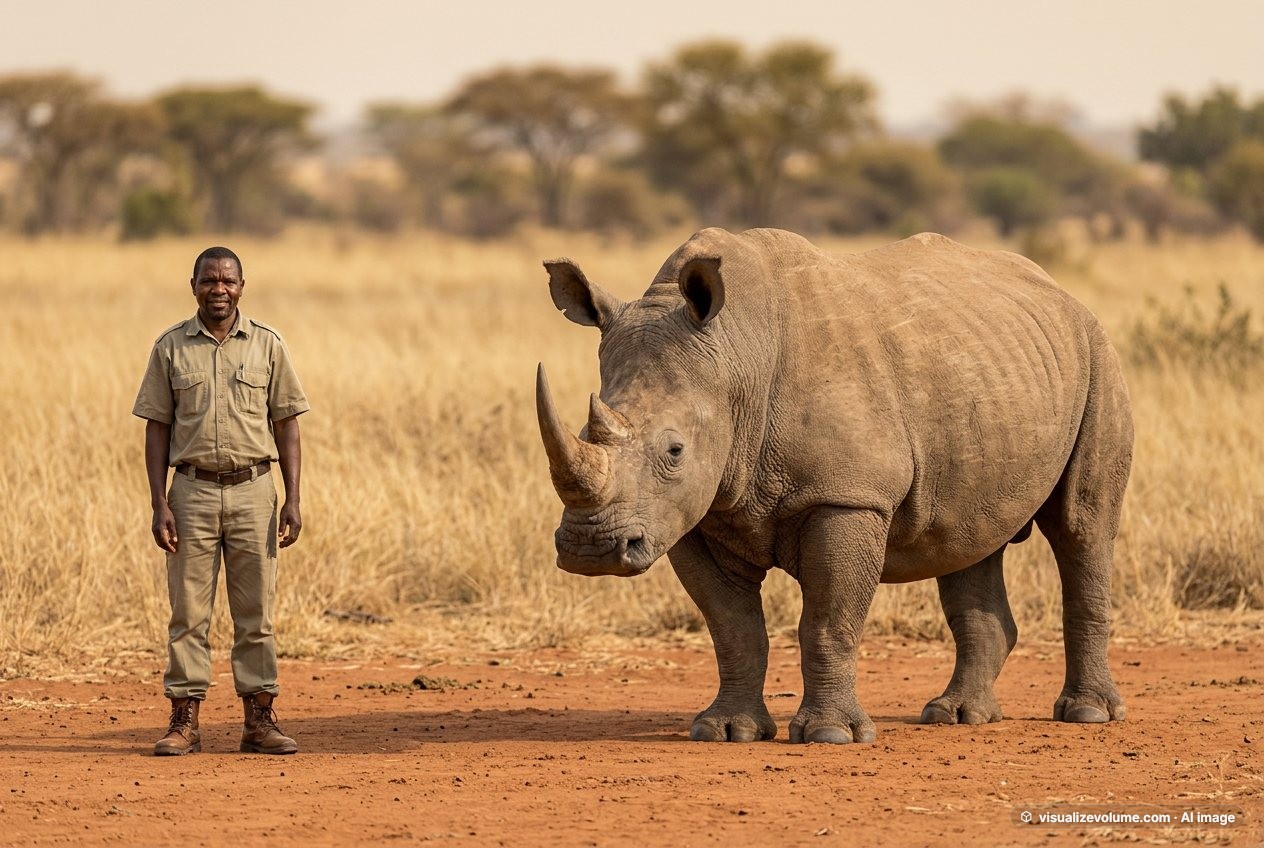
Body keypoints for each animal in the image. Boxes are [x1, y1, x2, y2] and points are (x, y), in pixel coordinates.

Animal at [536, 228, 1132, 744]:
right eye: (584, 431)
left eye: (674, 451)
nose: (592, 549)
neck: (735, 359)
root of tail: (1063, 295)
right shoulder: (692, 515)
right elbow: (732, 628)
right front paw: (725, 731)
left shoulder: (846, 497)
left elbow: (828, 621)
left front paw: (831, 735)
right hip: (990, 372)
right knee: (967, 538)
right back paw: (957, 716)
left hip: (1098, 355)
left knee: (1082, 526)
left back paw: (1087, 714)